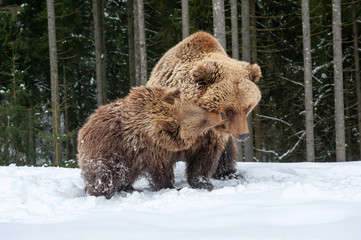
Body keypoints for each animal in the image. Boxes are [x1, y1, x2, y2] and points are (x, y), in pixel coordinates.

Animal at [77, 86, 224, 199]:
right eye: (203, 121)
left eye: (202, 109)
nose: (221, 116)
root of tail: (84, 127)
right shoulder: (151, 150)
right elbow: (161, 171)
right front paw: (170, 187)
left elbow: (200, 159)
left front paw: (204, 183)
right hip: (110, 153)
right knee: (106, 175)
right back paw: (103, 192)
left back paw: (127, 187)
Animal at [146, 31, 262, 190]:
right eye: (229, 110)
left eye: (246, 107)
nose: (244, 135)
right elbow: (161, 154)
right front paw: (165, 183)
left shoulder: (210, 134)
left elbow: (206, 155)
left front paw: (201, 181)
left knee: (227, 153)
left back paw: (229, 173)